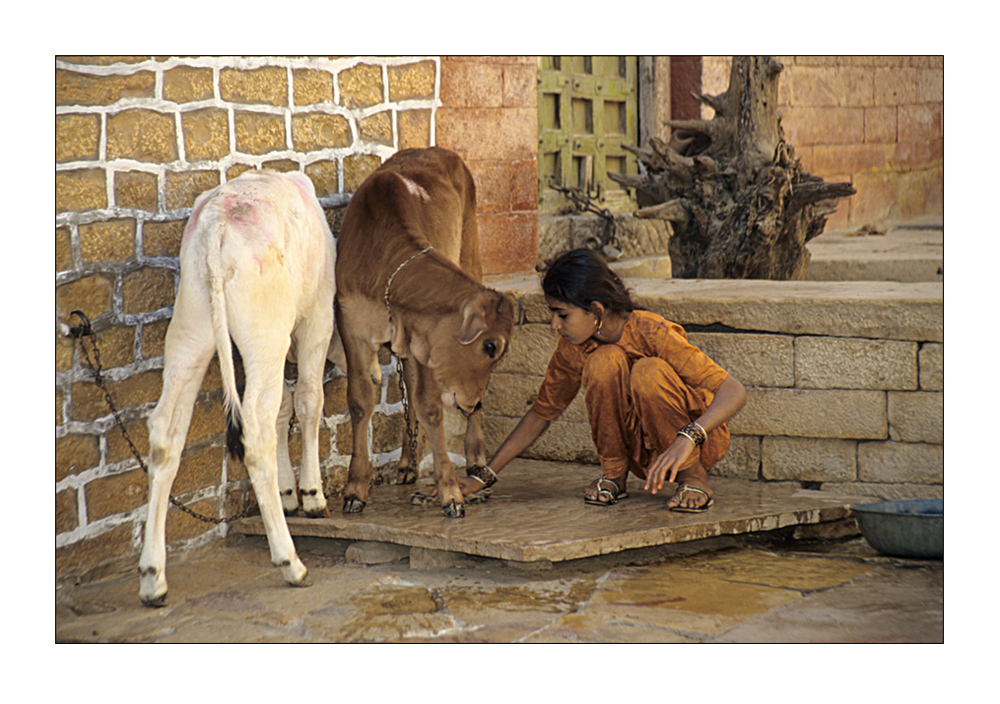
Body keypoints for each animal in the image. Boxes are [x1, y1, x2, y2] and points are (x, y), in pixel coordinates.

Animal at [139, 170, 338, 604]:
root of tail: (219, 217)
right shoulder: (317, 318)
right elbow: (309, 400)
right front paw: (311, 495)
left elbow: (287, 408)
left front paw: (288, 493)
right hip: (267, 335)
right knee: (257, 429)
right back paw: (290, 561)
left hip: (191, 329)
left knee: (165, 434)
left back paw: (153, 576)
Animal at [338, 148, 516, 516]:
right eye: (490, 346)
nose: (472, 402)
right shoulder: (351, 327)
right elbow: (360, 402)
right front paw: (355, 489)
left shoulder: (424, 341)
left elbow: (429, 407)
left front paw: (451, 492)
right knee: (406, 387)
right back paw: (407, 463)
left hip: (470, 249)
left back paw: (476, 458)